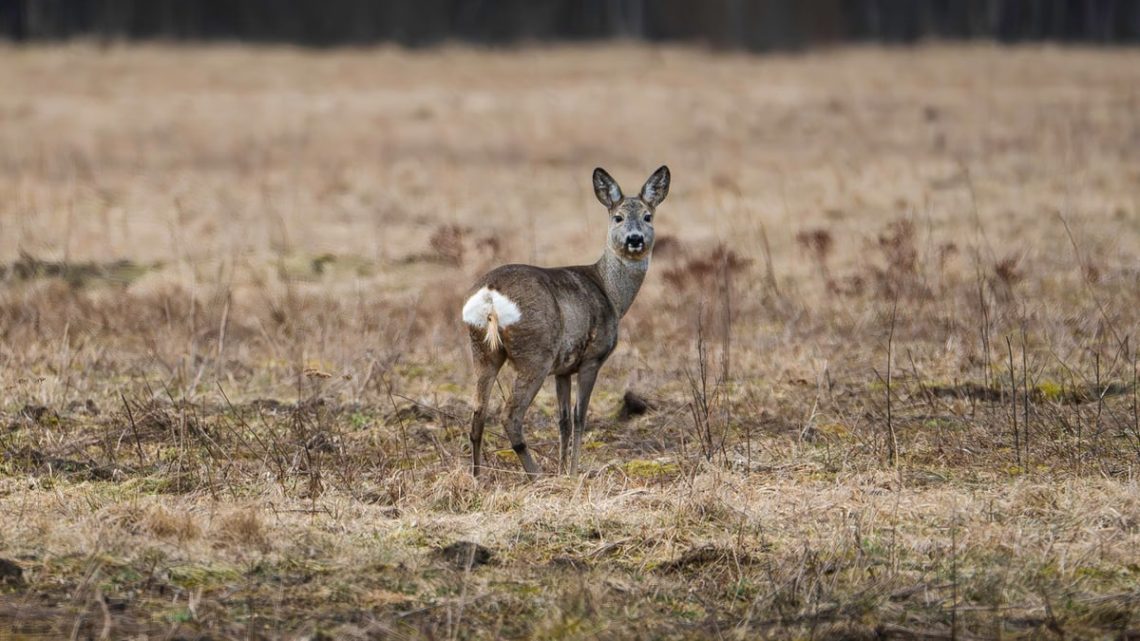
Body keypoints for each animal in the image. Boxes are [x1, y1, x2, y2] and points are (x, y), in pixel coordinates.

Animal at [462, 166, 670, 480]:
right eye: (618, 217)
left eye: (648, 216)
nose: (635, 239)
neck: (611, 293)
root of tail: (490, 295)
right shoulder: (592, 358)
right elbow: (580, 417)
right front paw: (573, 471)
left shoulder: (562, 369)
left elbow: (563, 421)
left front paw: (562, 469)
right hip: (535, 352)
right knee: (510, 415)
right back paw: (535, 475)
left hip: (484, 350)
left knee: (478, 411)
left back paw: (477, 476)